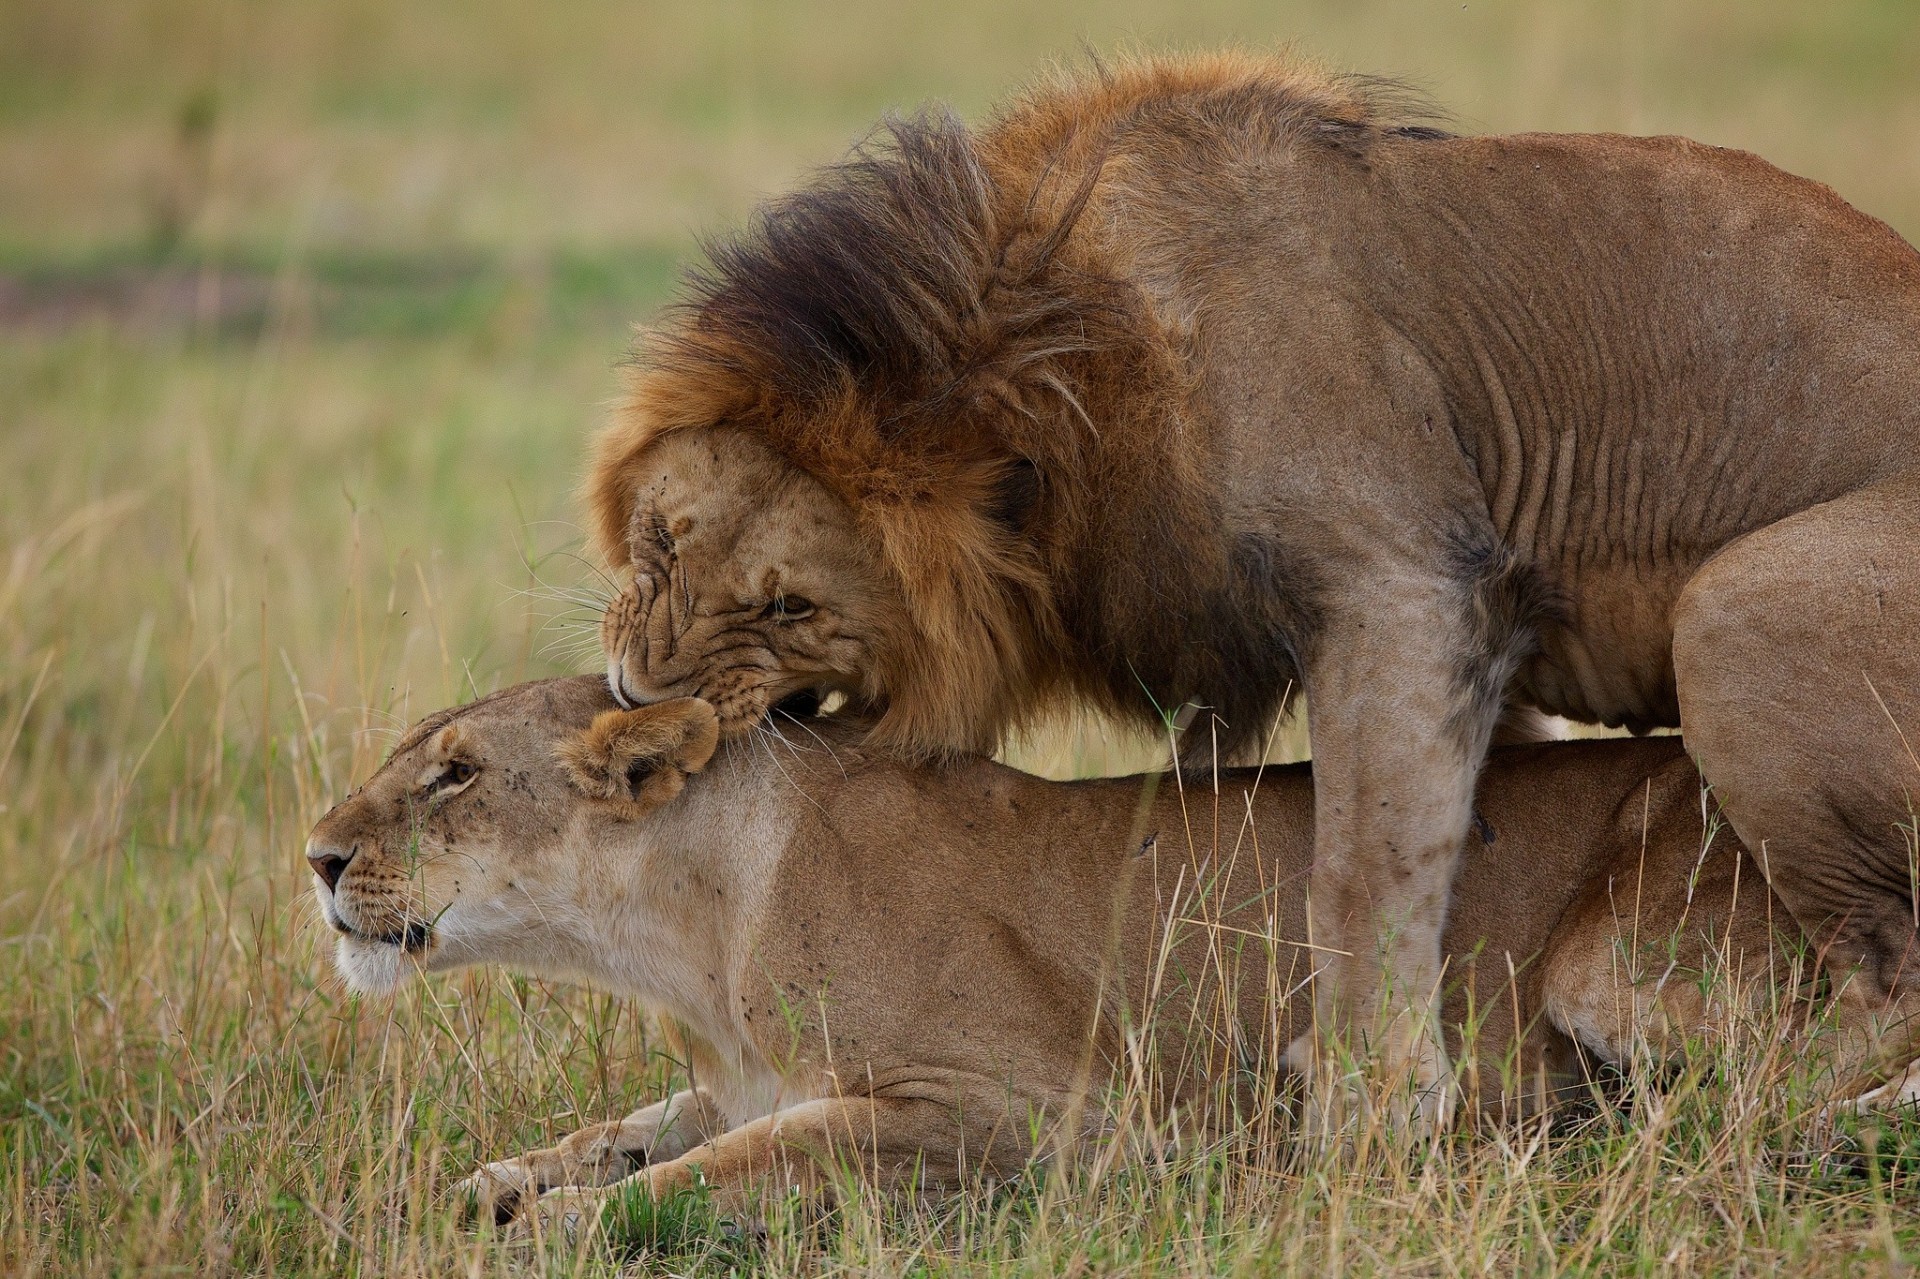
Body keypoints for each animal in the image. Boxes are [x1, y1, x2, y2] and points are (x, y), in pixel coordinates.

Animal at [305, 676, 1870, 1232]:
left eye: (453, 773)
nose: (315, 858)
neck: (684, 935)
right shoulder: (736, 1074)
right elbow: (632, 1127)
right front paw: (491, 1182)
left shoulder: (1016, 1109)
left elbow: (719, 1169)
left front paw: (550, 1231)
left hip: (1617, 958)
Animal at [584, 51, 1920, 1124]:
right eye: (658, 541)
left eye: (790, 608)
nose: (636, 694)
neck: (1072, 357)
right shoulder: (1308, 651)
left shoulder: (1409, 581)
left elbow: (1363, 865)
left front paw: (1372, 1110)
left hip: (1735, 608)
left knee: (1887, 968)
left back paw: (1766, 1111)